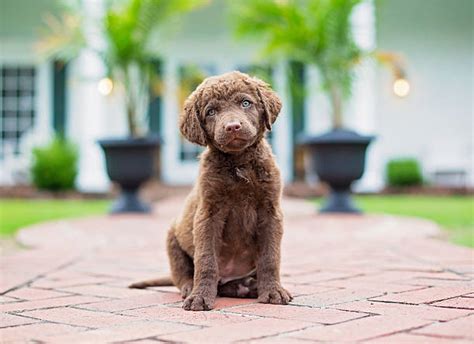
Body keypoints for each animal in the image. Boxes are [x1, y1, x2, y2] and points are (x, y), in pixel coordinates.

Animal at [131, 71, 292, 310]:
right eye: (211, 112)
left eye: (246, 103)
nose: (233, 126)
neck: (239, 163)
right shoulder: (208, 213)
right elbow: (206, 260)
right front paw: (199, 297)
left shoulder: (270, 212)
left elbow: (270, 257)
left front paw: (273, 291)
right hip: (172, 238)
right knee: (184, 274)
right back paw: (192, 288)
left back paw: (247, 286)